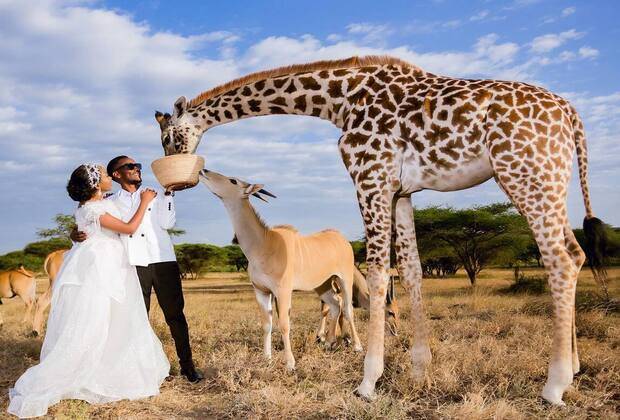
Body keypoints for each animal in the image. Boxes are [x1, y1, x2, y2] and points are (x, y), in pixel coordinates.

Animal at [155, 55, 604, 404]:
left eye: (169, 135)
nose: (177, 177)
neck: (338, 101)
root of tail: (570, 113)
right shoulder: (401, 191)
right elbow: (411, 272)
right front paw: (420, 370)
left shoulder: (370, 178)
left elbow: (374, 276)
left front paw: (368, 381)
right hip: (551, 179)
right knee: (576, 252)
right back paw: (575, 368)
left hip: (524, 173)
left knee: (560, 260)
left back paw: (554, 386)